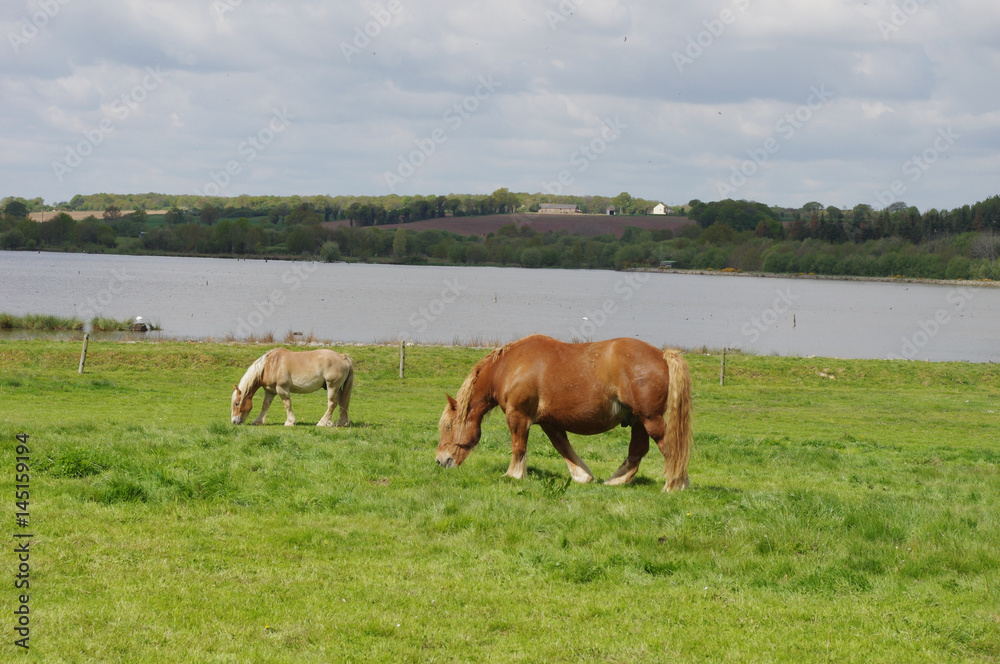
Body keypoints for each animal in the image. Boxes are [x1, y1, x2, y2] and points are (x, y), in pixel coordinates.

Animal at [438, 334, 696, 490]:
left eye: (449, 426)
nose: (441, 460)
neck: (509, 367)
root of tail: (663, 355)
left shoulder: (518, 416)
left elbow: (518, 447)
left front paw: (513, 475)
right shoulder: (549, 422)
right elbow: (563, 447)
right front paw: (582, 476)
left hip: (650, 419)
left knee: (669, 447)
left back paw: (675, 484)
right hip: (639, 420)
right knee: (637, 451)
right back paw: (616, 480)